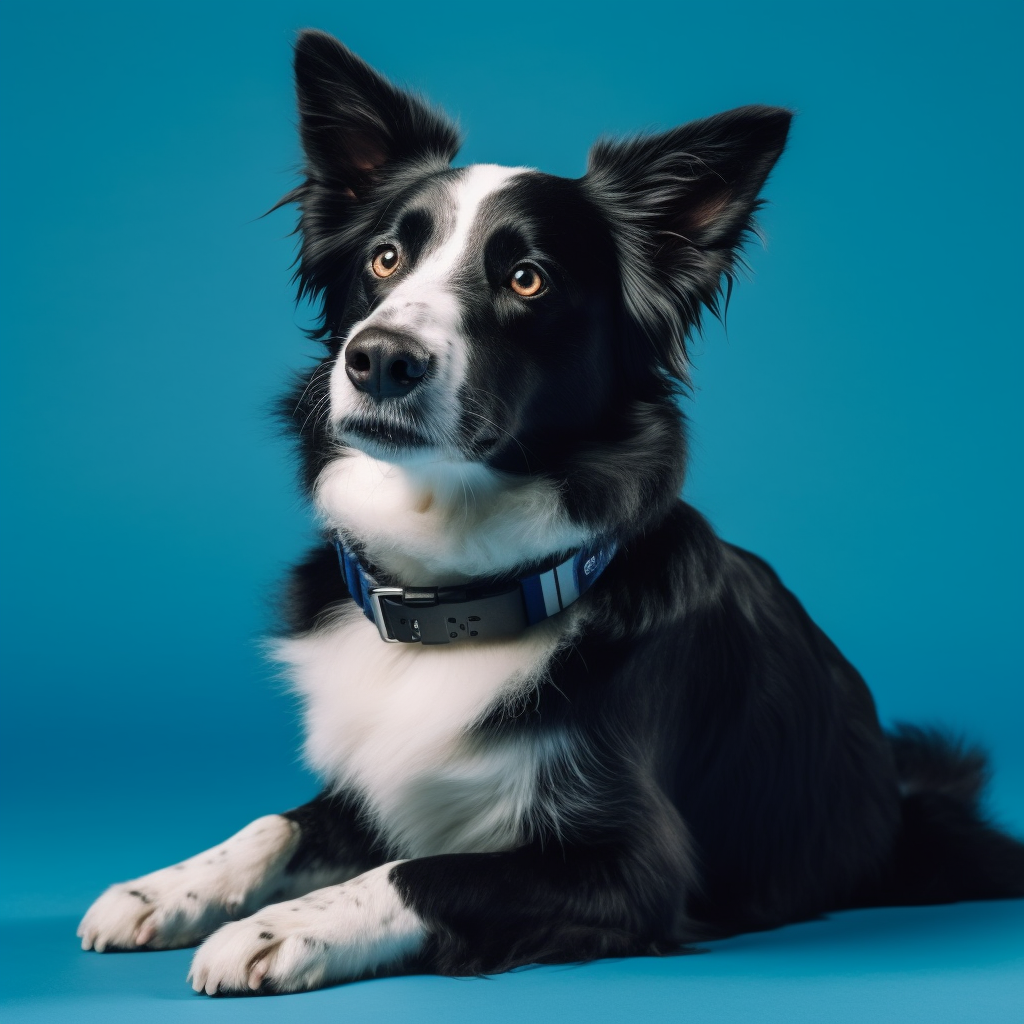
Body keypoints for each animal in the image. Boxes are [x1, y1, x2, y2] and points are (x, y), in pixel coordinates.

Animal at [77, 29, 1024, 991]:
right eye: (384, 259)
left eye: (527, 280)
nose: (378, 359)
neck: (454, 596)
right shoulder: (375, 785)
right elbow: (280, 821)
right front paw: (165, 889)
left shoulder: (633, 867)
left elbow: (418, 870)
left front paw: (278, 929)